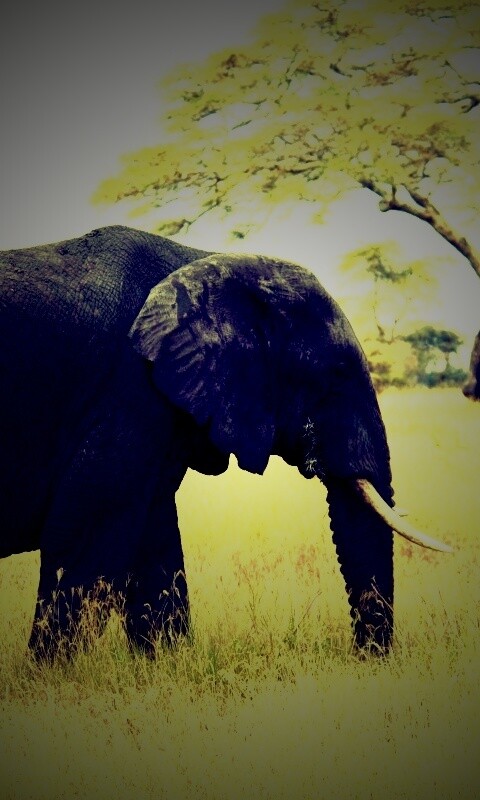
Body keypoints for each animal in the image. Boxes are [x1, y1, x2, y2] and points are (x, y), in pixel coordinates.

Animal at [0, 225, 451, 659]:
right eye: (335, 374)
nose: (364, 658)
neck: (204, 260)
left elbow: (155, 545)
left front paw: (166, 664)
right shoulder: (128, 392)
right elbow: (85, 538)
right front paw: (51, 675)